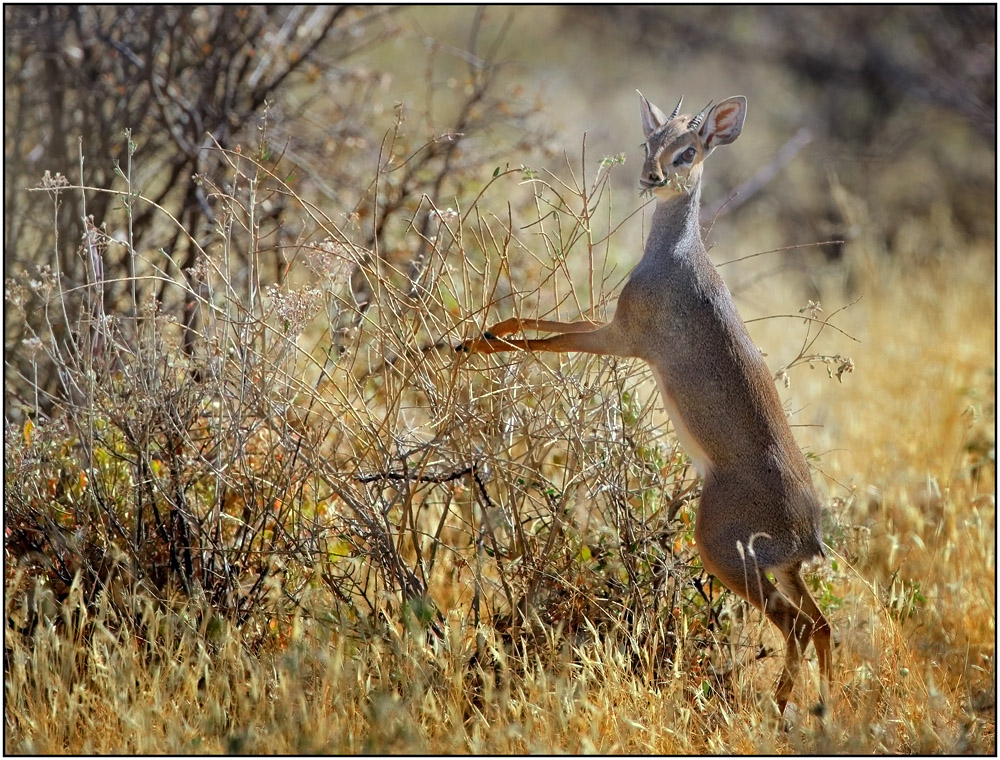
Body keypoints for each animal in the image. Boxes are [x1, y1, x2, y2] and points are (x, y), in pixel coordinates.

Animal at [460, 92, 836, 716]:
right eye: (649, 142)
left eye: (688, 150)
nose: (651, 177)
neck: (674, 256)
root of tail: (808, 534)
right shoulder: (612, 329)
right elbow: (535, 322)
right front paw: (476, 334)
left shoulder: (621, 338)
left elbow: (544, 339)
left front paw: (472, 345)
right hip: (781, 570)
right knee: (824, 625)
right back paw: (819, 711)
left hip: (727, 557)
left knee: (798, 626)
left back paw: (775, 709)